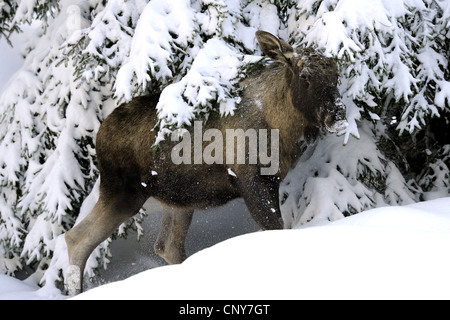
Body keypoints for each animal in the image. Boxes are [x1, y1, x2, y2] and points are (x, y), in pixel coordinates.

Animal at [64, 31, 348, 294]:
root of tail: (100, 134)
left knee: (166, 246)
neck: (281, 126)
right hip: (123, 192)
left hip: (177, 199)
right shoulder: (252, 181)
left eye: (336, 74)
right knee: (76, 238)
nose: (338, 114)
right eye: (304, 76)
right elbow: (274, 228)